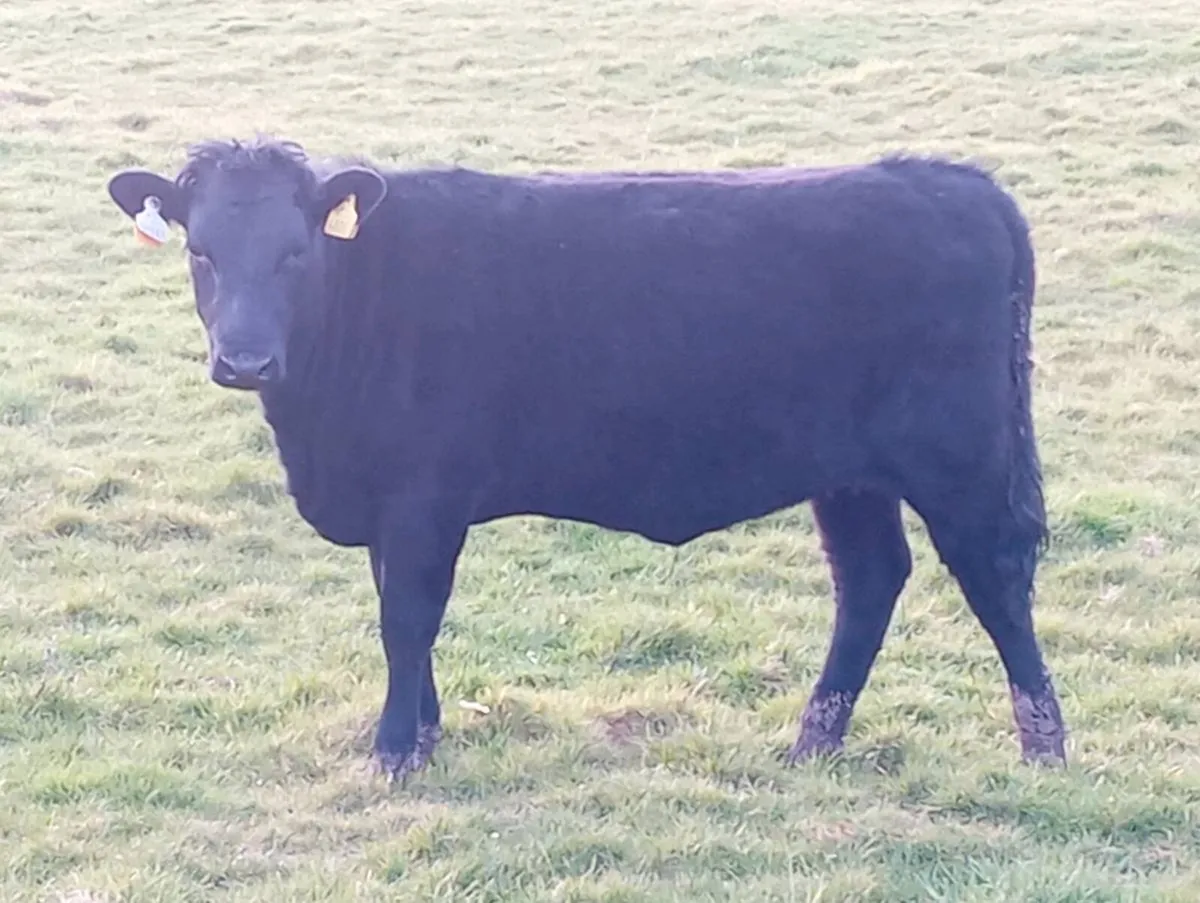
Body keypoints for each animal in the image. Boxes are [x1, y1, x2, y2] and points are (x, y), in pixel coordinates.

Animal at [106, 137, 1068, 781]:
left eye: (294, 252)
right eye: (201, 251)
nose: (244, 360)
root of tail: (950, 178)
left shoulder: (421, 498)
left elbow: (405, 618)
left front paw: (393, 752)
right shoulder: (389, 503)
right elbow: (403, 616)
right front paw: (424, 731)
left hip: (962, 456)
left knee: (994, 573)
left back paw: (1044, 746)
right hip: (851, 473)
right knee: (869, 578)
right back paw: (812, 740)